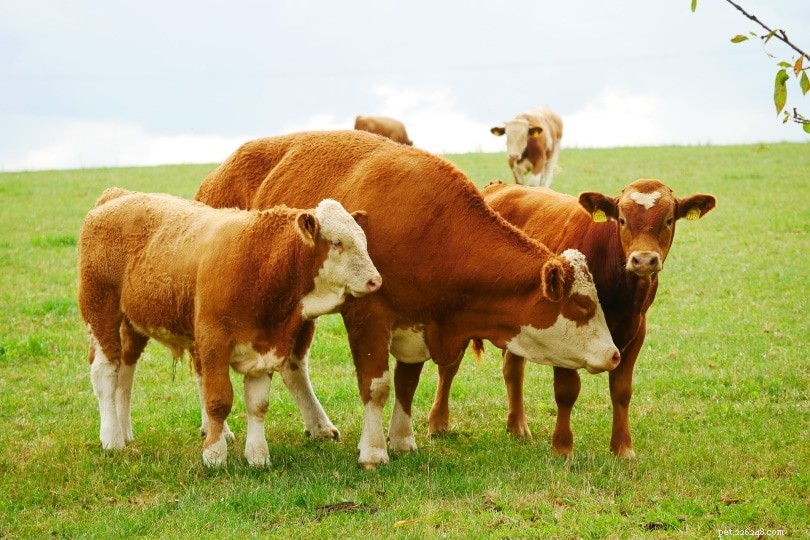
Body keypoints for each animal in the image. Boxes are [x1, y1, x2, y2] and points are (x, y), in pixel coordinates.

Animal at [77, 188, 381, 467]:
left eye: (363, 240)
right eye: (337, 243)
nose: (375, 281)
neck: (261, 263)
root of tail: (117, 195)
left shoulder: (264, 345)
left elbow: (257, 404)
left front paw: (258, 456)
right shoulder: (213, 342)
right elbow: (218, 400)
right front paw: (214, 455)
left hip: (133, 322)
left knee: (125, 371)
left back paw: (124, 430)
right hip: (101, 309)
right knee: (106, 370)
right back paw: (112, 439)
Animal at [195, 130, 621, 469]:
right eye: (582, 306)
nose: (615, 354)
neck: (436, 231)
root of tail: (217, 175)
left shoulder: (418, 320)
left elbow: (407, 383)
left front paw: (402, 439)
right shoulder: (367, 315)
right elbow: (377, 386)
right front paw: (373, 451)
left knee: (294, 364)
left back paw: (318, 424)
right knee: (204, 363)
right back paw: (217, 430)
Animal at [431, 179, 717, 458]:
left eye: (668, 220)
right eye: (622, 219)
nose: (644, 260)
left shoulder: (636, 331)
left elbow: (621, 390)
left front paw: (623, 447)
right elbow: (567, 391)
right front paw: (562, 447)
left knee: (512, 369)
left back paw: (517, 425)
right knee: (449, 367)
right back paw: (438, 423)